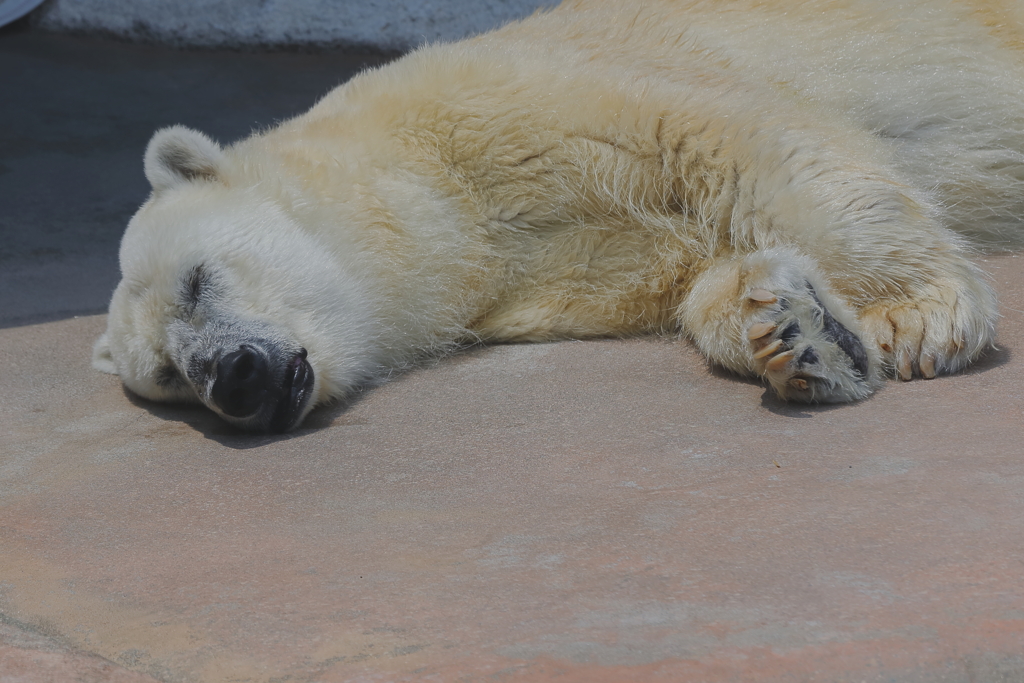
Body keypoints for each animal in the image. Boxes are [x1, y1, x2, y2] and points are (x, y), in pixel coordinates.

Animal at [90, 0, 1024, 432]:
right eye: (169, 378)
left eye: (197, 279)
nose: (233, 377)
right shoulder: (564, 272)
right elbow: (706, 274)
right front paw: (802, 332)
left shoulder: (527, 93)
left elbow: (746, 142)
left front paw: (915, 312)